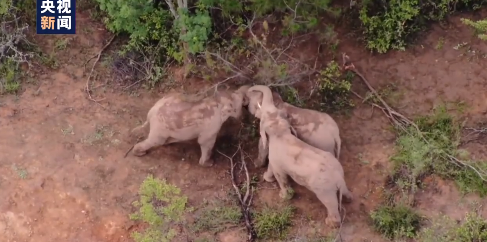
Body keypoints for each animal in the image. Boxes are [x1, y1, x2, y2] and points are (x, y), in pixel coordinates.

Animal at [250, 85, 352, 229]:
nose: (250, 89)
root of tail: (336, 136)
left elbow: (278, 172)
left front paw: (281, 195)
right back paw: (349, 199)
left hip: (325, 187)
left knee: (329, 202)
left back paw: (330, 223)